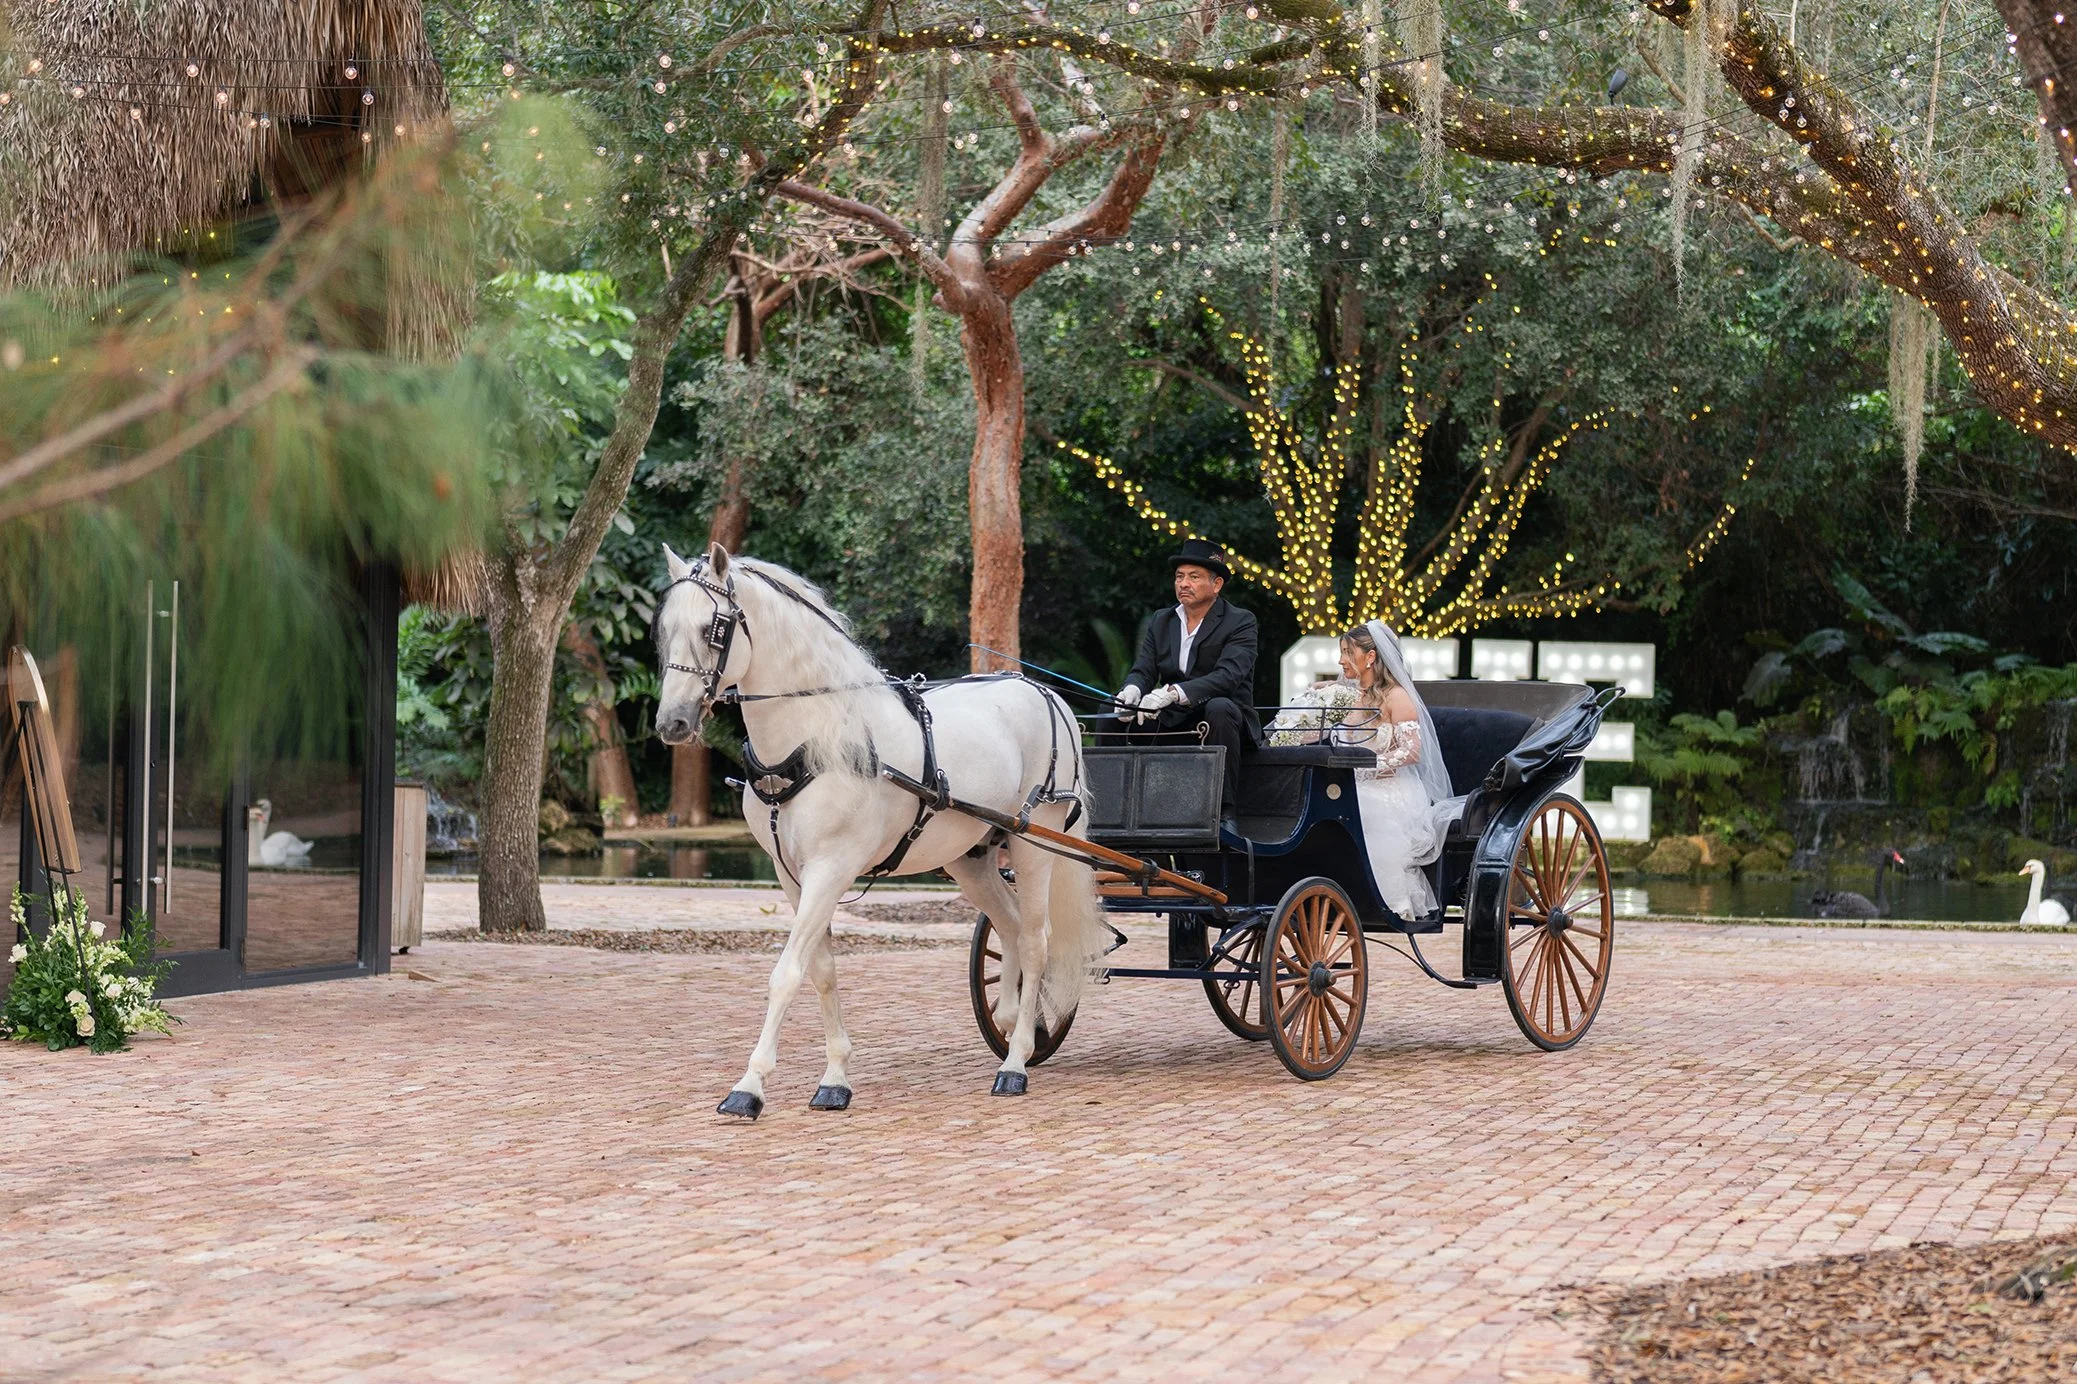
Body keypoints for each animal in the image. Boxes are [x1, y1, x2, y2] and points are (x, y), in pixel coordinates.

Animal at [651, 543, 1108, 1118]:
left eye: (715, 627)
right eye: (664, 629)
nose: (672, 723)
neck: (813, 737)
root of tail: (1049, 695)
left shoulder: (831, 868)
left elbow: (786, 973)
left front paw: (750, 1086)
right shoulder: (793, 876)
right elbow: (821, 971)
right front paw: (835, 1078)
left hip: (1035, 844)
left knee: (1034, 941)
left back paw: (1016, 1062)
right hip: (971, 857)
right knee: (1006, 929)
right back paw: (1008, 1026)